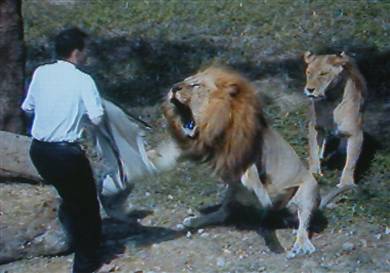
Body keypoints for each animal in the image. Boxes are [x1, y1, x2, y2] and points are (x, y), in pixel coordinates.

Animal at [152, 66, 320, 258]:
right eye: (183, 81)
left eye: (195, 85)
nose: (174, 88)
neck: (214, 125)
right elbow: (165, 154)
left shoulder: (252, 153)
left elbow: (251, 174)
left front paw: (263, 195)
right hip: (232, 192)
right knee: (223, 214)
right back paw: (194, 220)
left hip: (309, 189)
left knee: (303, 223)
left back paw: (301, 243)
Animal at [304, 51, 366, 187]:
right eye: (308, 72)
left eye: (323, 74)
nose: (309, 89)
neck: (330, 101)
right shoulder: (315, 127)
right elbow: (313, 151)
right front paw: (314, 173)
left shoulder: (356, 133)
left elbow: (351, 163)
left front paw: (346, 184)